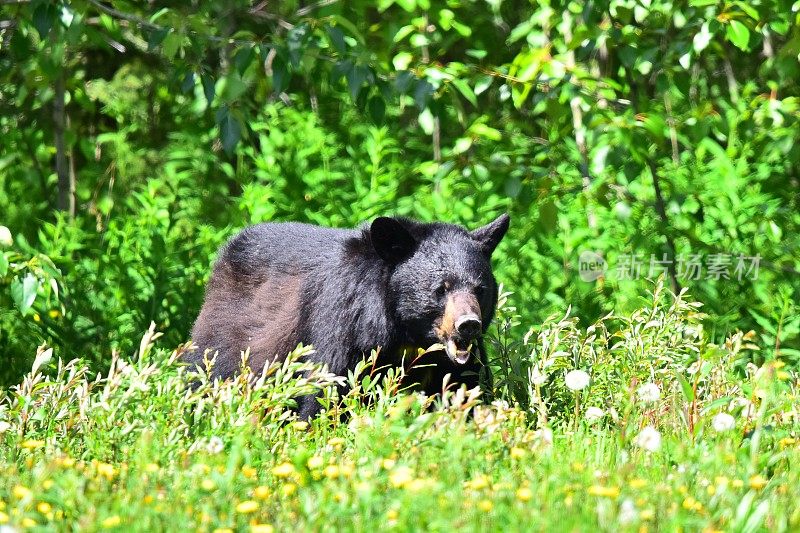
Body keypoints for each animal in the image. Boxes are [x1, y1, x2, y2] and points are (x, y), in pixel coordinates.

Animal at [187, 214, 510, 418]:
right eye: (441, 288)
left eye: (480, 289)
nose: (468, 325)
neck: (406, 336)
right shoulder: (343, 327)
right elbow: (327, 394)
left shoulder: (453, 362)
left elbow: (467, 390)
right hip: (224, 342)